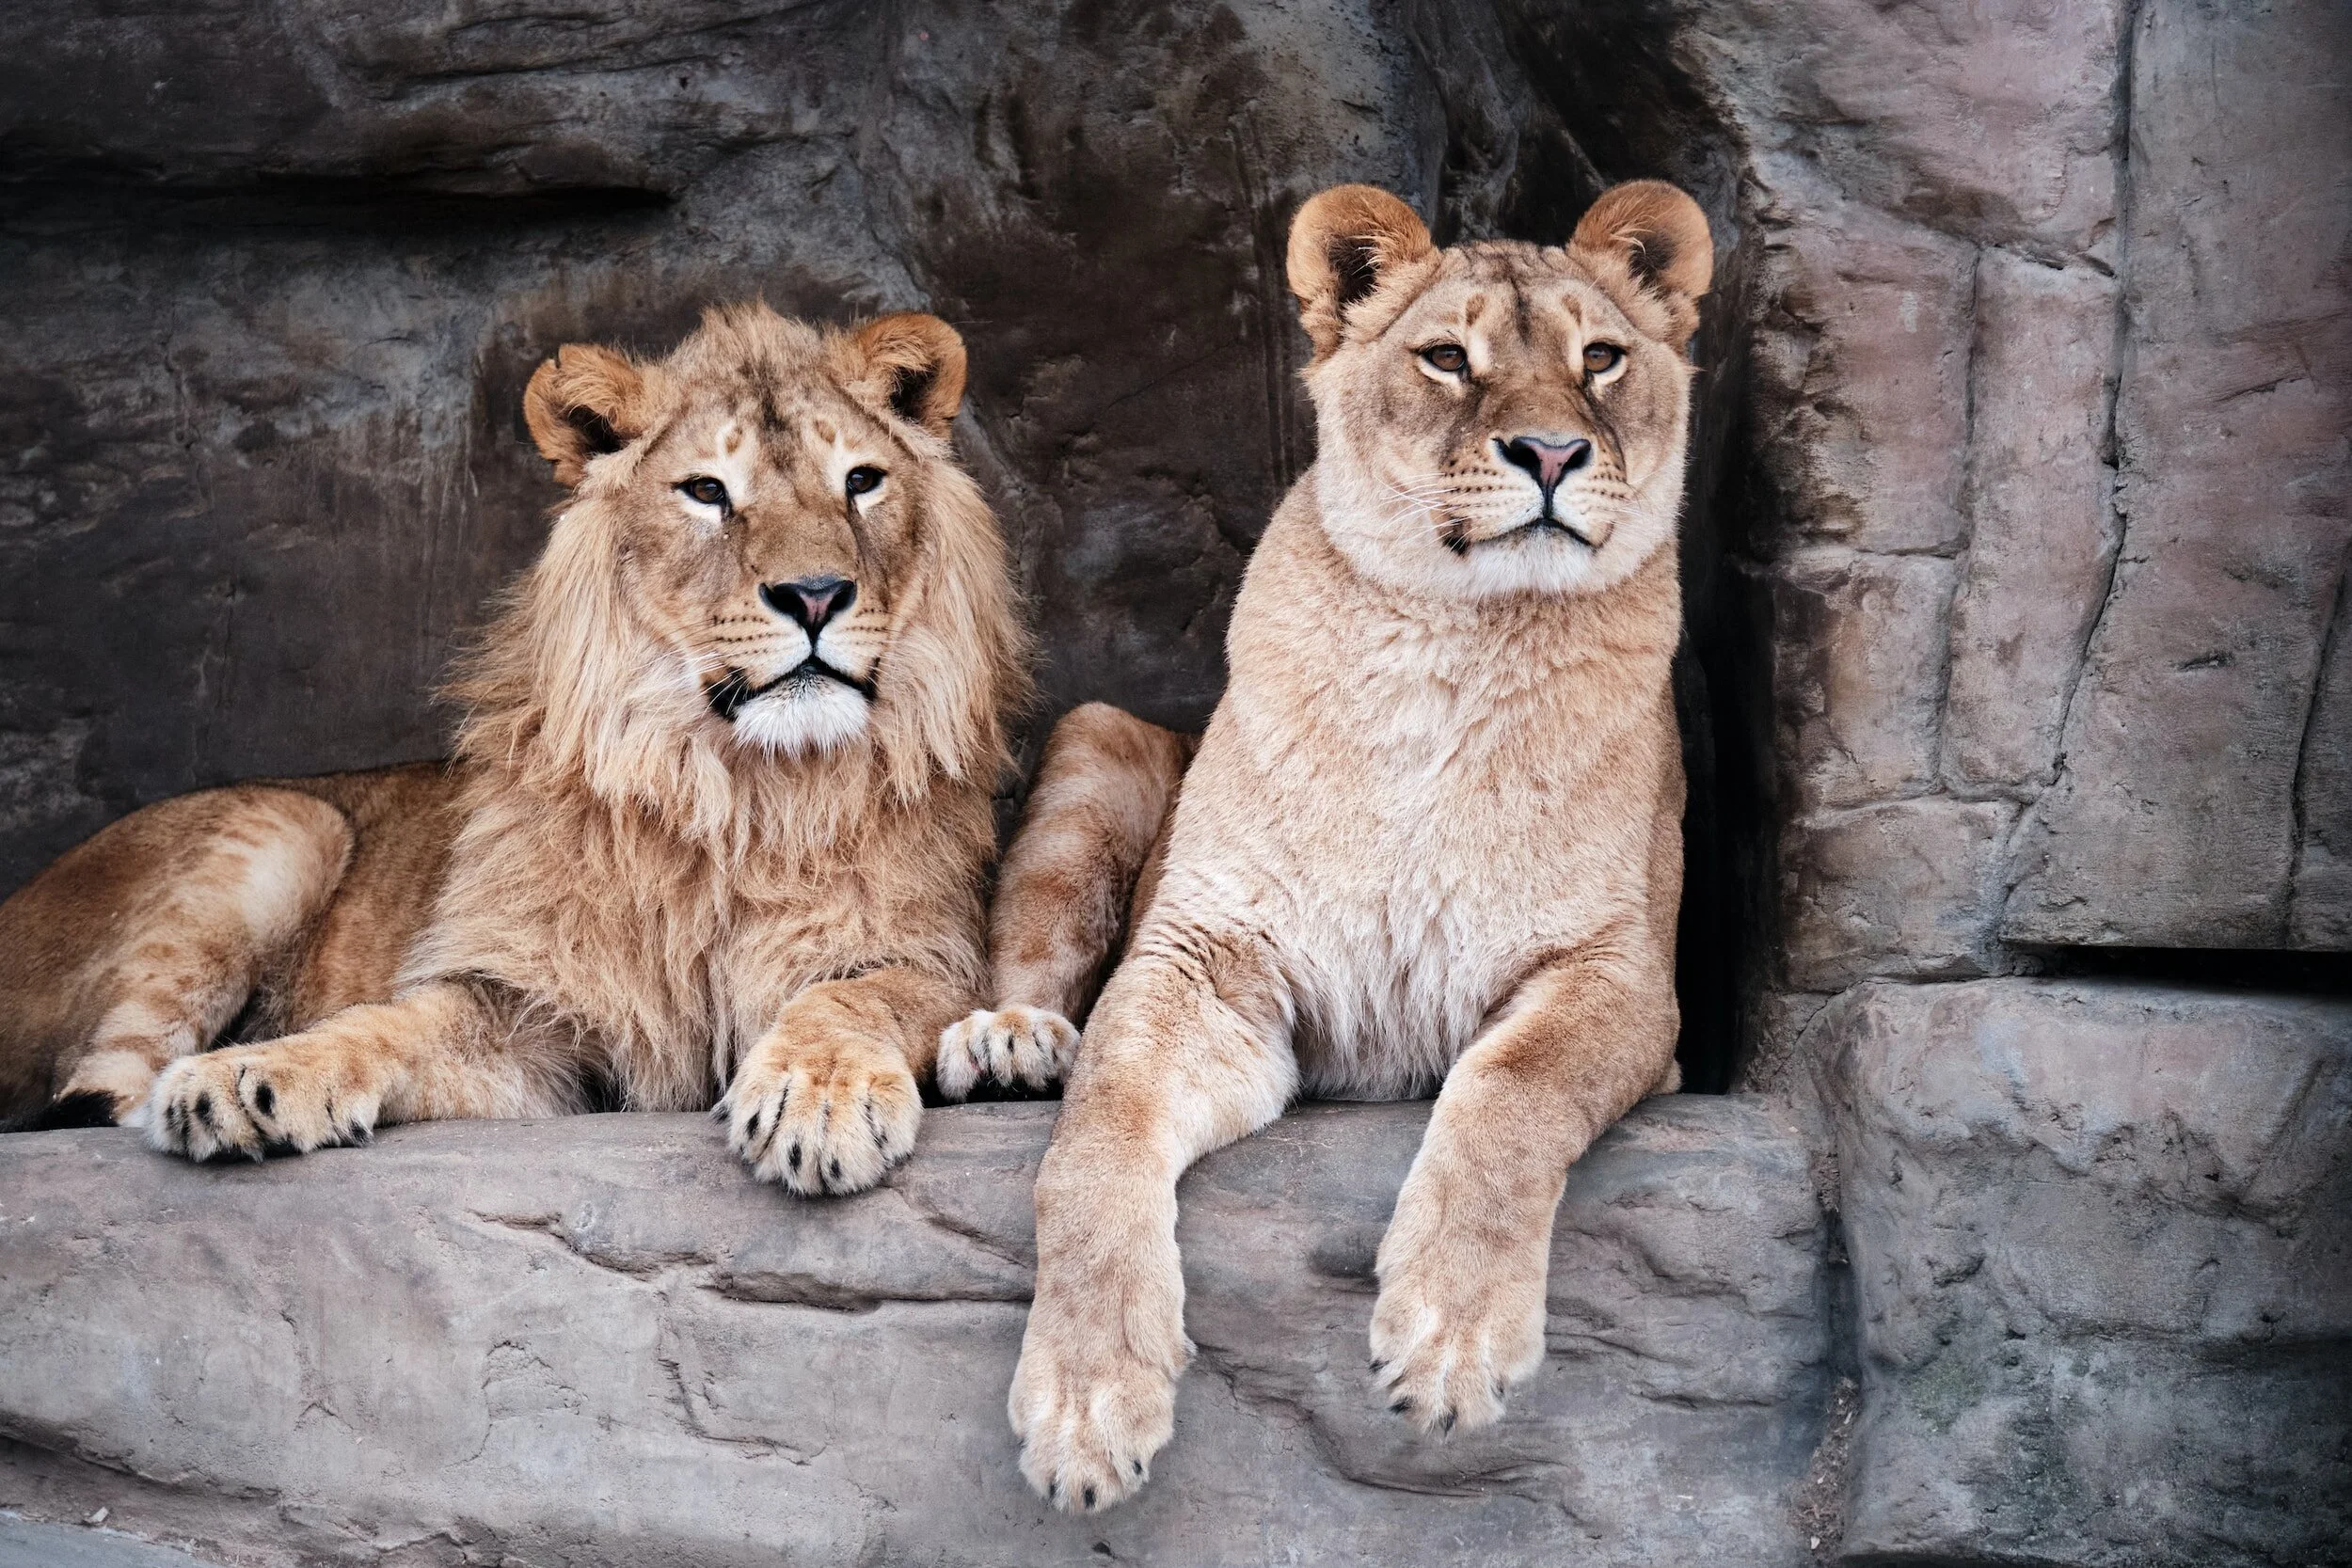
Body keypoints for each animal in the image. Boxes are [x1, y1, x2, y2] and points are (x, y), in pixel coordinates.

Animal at [0, 301, 1049, 1194]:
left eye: (861, 482)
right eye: (707, 492)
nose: (817, 593)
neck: (736, 787)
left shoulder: (938, 960)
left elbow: (851, 998)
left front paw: (817, 1099)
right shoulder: (541, 1012)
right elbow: (388, 1023)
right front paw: (244, 1074)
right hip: (288, 821)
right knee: (95, 1084)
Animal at [948, 180, 1712, 1509]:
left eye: (1600, 360)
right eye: (1447, 358)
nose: (1551, 453)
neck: (1452, 646)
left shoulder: (1622, 977)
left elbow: (1510, 1092)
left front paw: (1449, 1341)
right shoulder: (1205, 964)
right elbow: (1094, 1138)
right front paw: (1086, 1401)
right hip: (1099, 744)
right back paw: (1012, 1039)